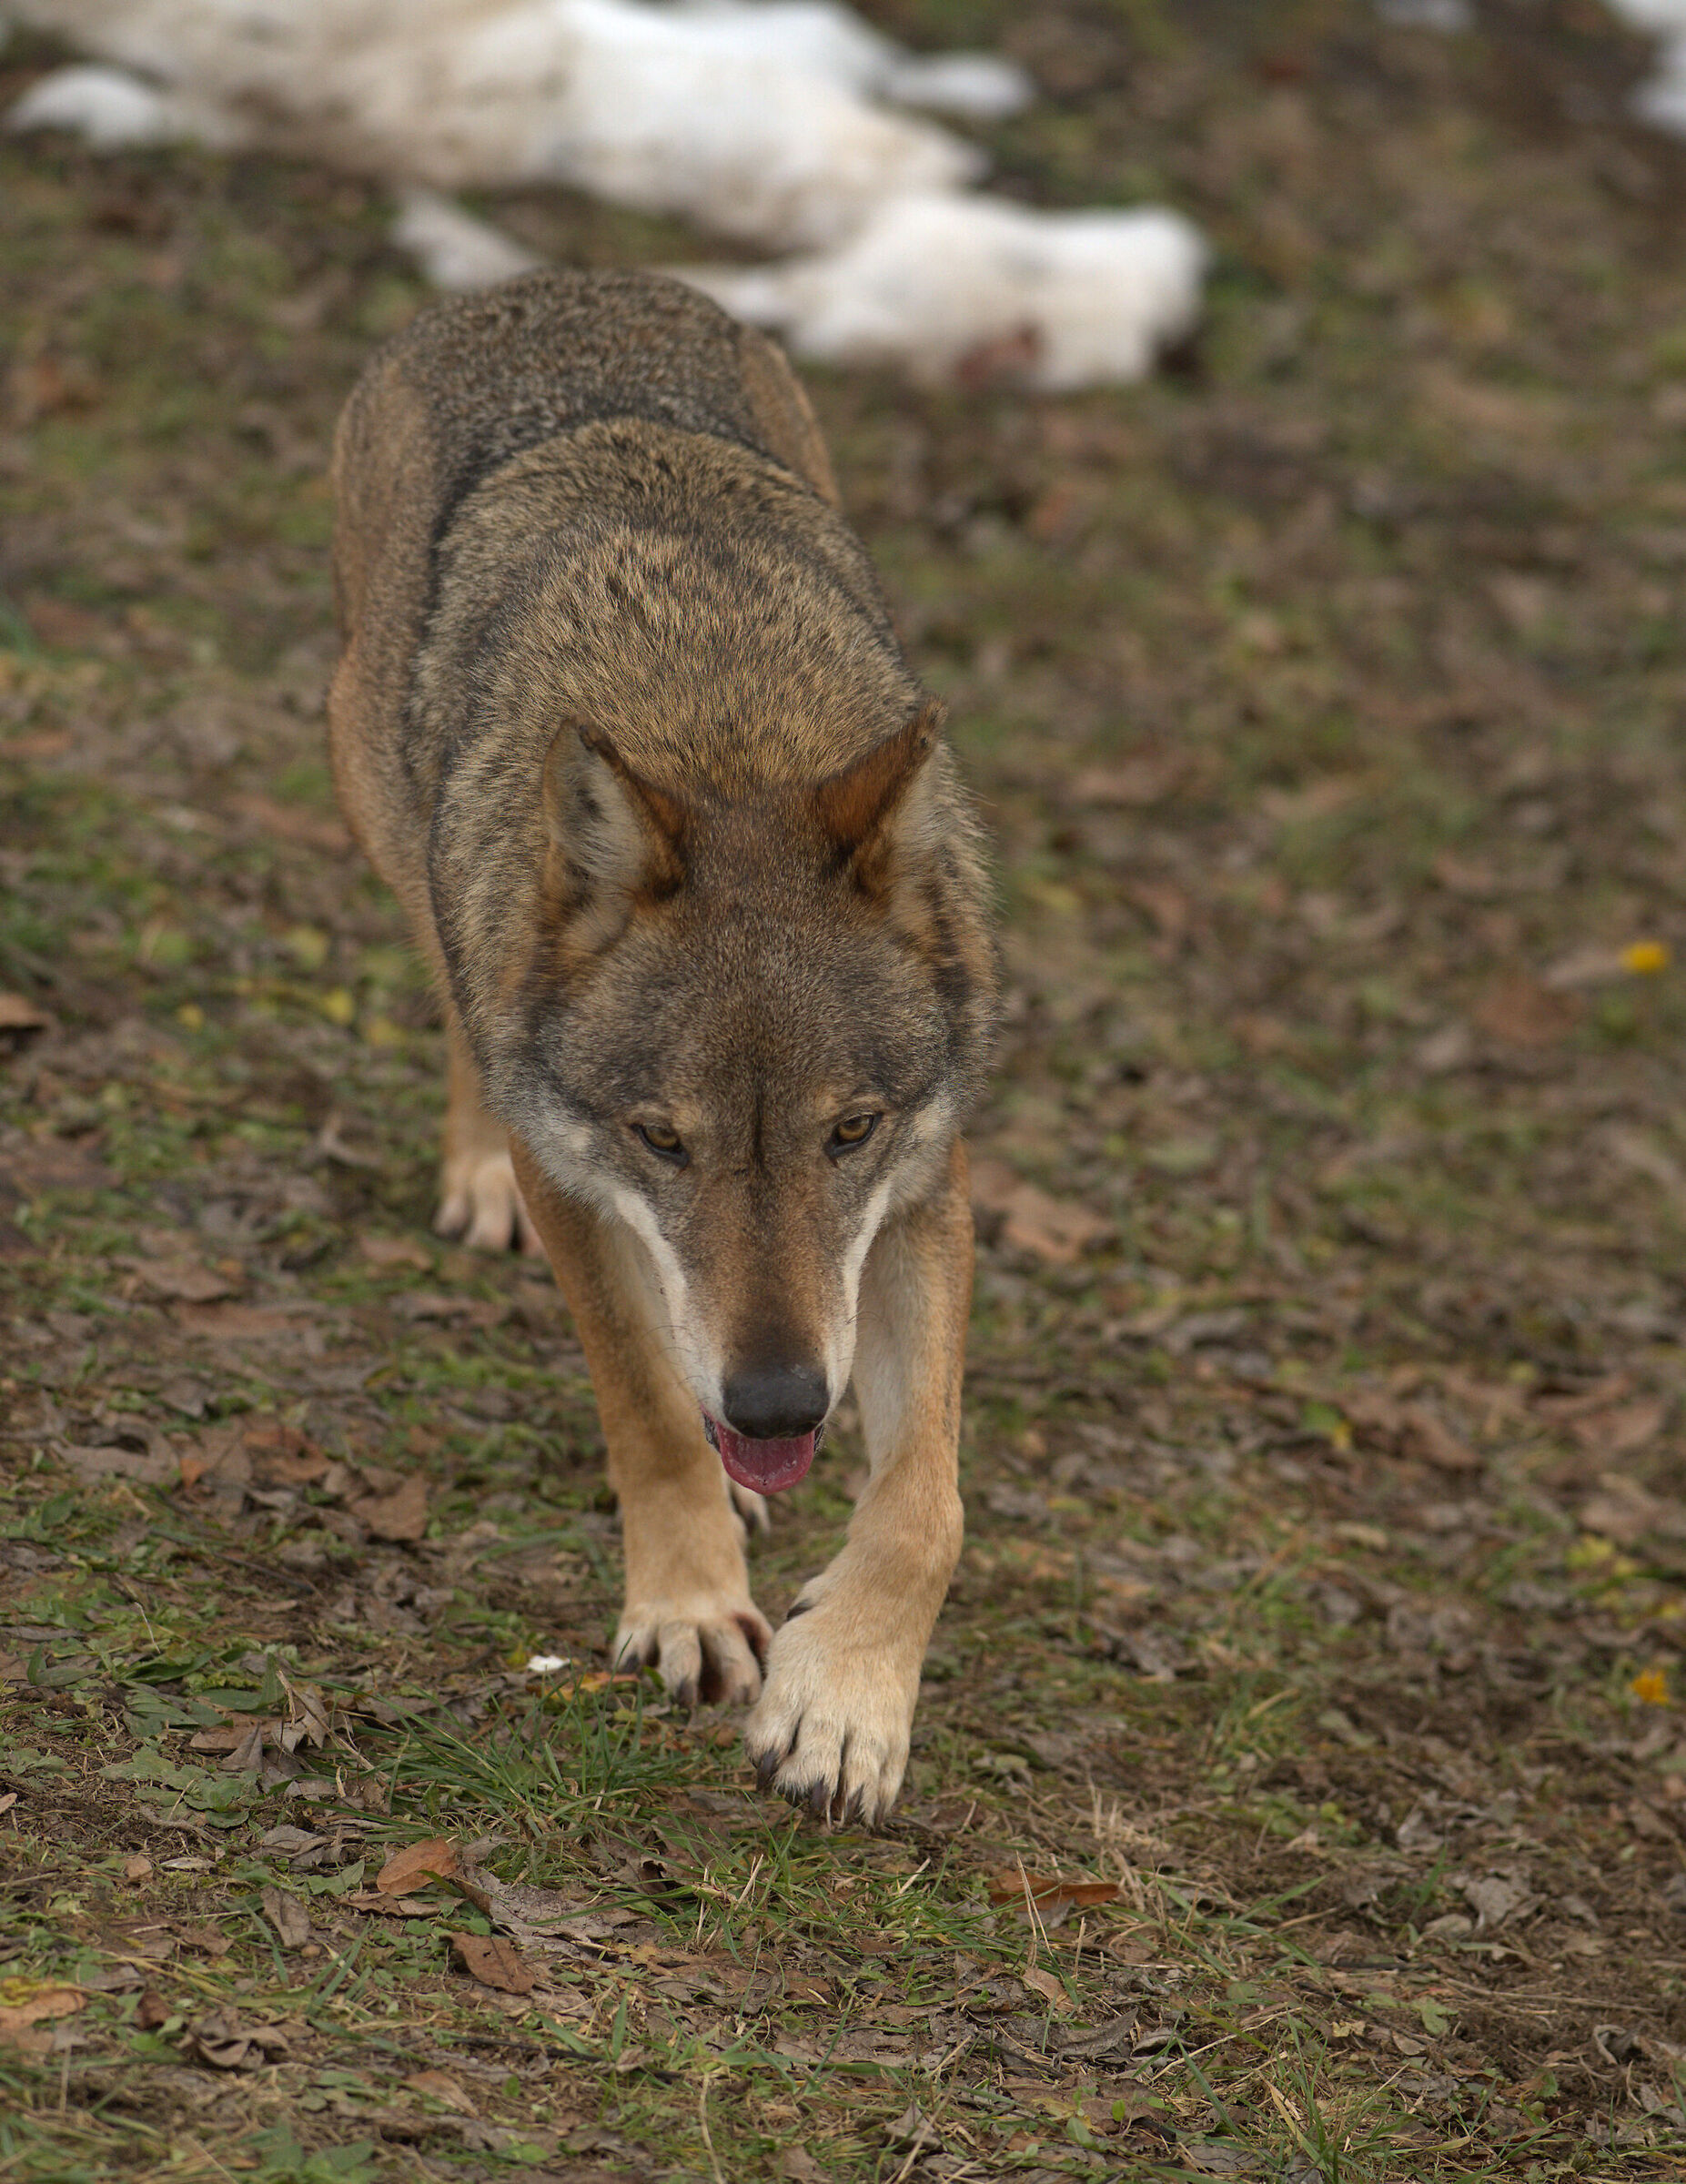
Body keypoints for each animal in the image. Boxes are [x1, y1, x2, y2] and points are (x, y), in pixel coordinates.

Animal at [328, 269, 996, 1823]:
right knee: (461, 998)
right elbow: (639, 1397)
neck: (717, 728)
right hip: (381, 804)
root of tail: (550, 282)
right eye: (661, 1139)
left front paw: (847, 1702)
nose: (779, 1397)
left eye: (848, 1131)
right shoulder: (582, 1178)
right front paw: (691, 1602)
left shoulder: (926, 1190)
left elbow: (924, 1502)